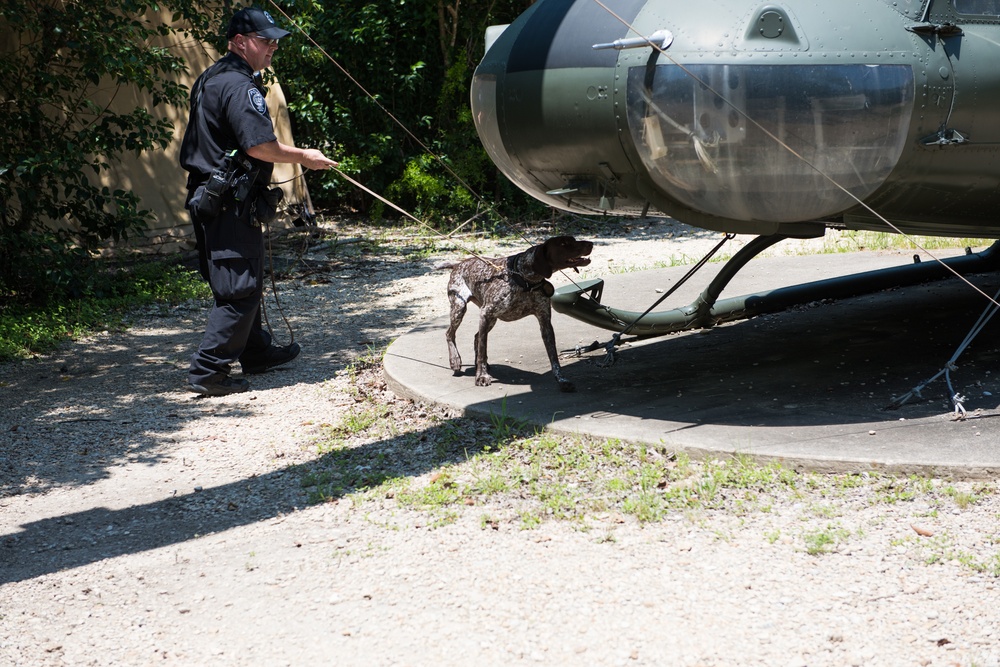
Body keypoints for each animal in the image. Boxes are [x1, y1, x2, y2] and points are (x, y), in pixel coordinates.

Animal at [440, 235, 592, 392]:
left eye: (573, 240)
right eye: (563, 243)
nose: (591, 244)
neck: (525, 280)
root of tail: (458, 264)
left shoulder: (545, 322)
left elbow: (554, 358)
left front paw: (561, 380)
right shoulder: (486, 313)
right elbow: (482, 350)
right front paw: (481, 376)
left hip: (491, 320)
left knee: (477, 337)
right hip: (460, 308)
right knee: (450, 334)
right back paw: (455, 361)